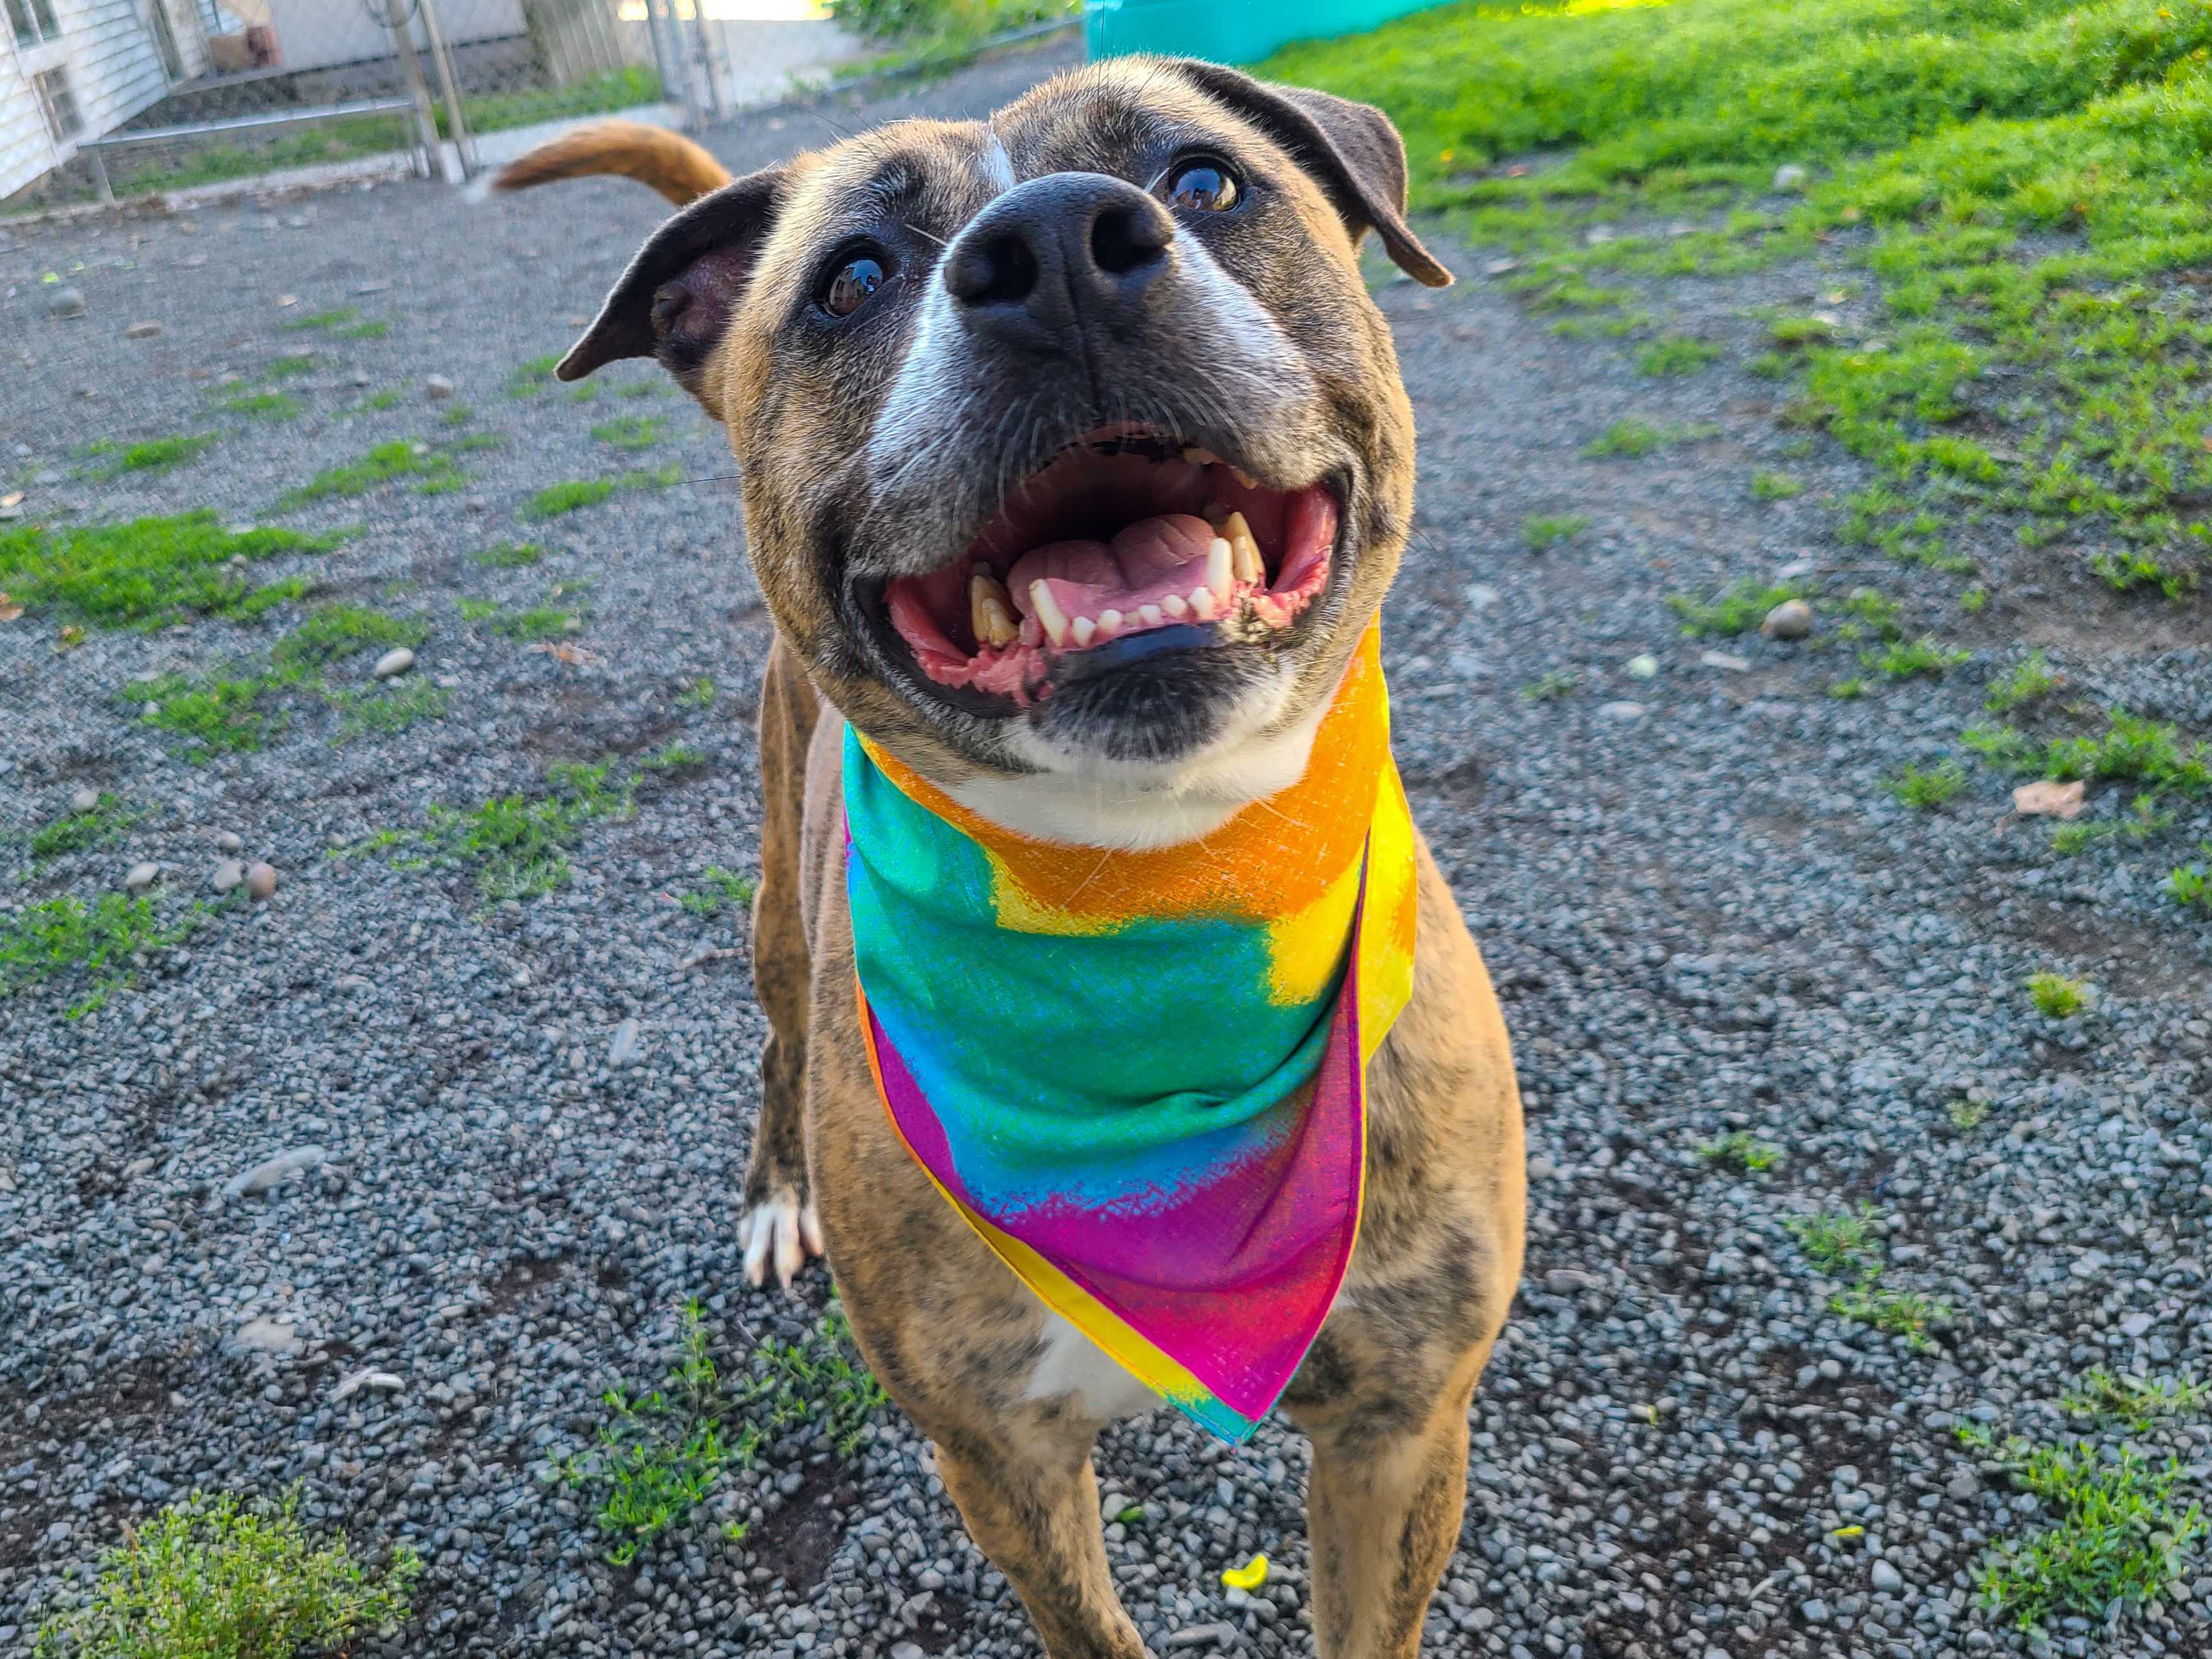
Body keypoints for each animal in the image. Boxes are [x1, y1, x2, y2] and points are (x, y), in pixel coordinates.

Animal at [506, 55, 1521, 1659]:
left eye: (1204, 180)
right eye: (853, 277)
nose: (1052, 249)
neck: (1149, 889)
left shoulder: (1402, 1423)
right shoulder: (999, 1457)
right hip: (773, 922)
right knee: (772, 1039)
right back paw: (774, 1189)